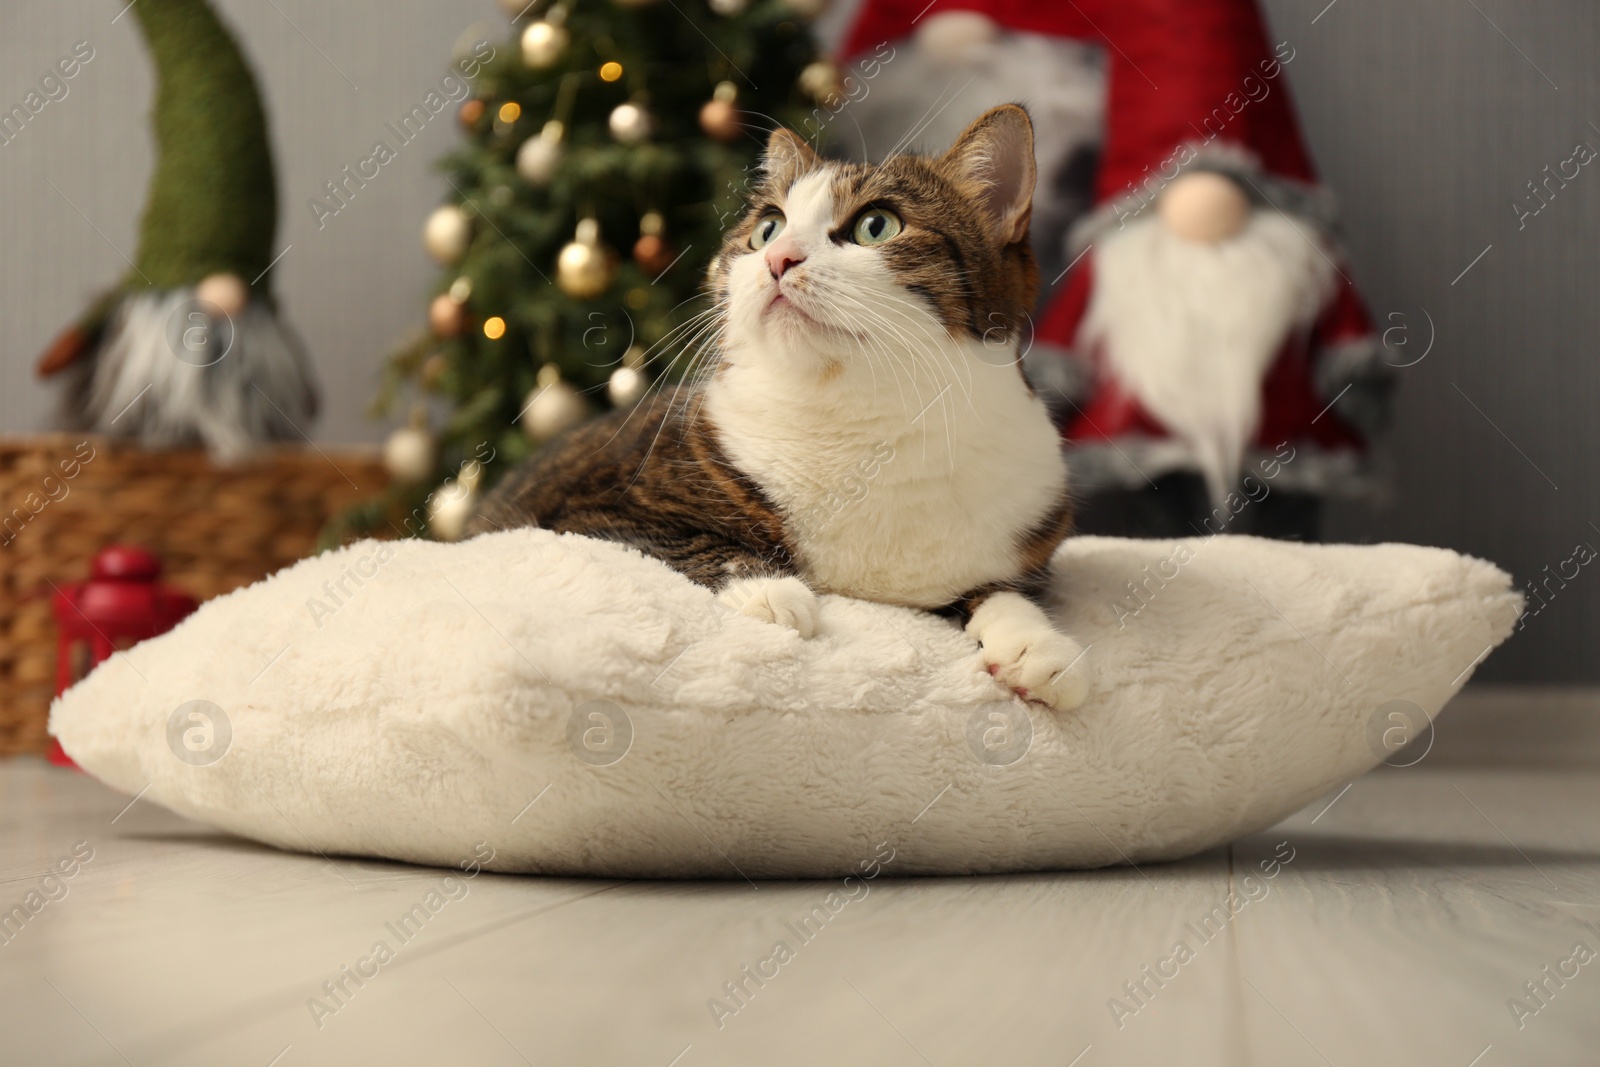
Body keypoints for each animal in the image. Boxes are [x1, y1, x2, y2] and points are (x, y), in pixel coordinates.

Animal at [464, 103, 1088, 713]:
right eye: (767, 227)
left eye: (876, 225)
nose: (779, 257)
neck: (861, 422)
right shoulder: (585, 509)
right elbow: (678, 541)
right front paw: (768, 589)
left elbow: (1001, 589)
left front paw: (1036, 644)